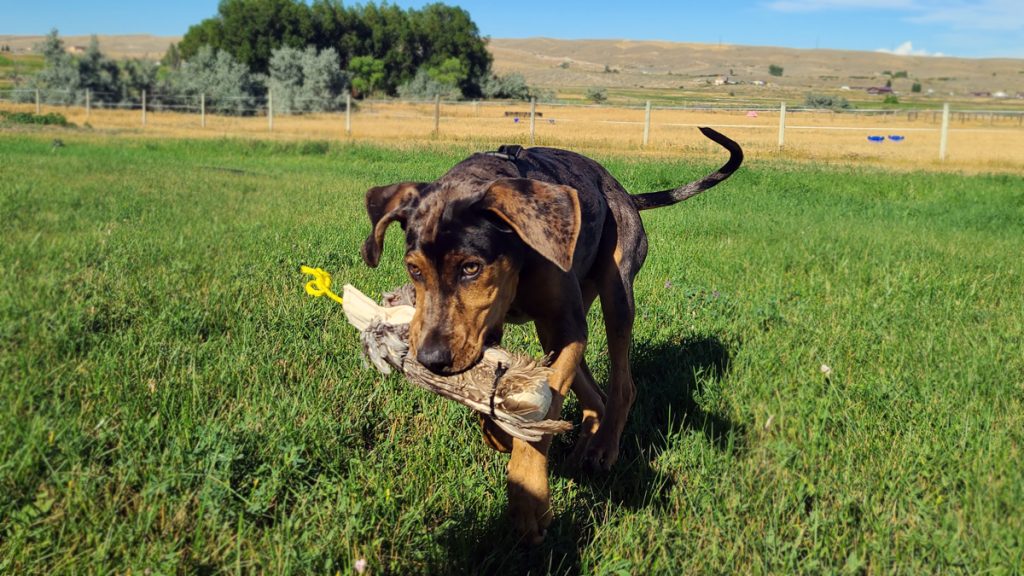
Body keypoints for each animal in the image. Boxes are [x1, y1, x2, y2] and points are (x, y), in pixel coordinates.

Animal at [362, 126, 745, 541]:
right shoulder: (491, 328)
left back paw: (603, 447)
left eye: (471, 267)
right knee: (594, 394)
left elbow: (539, 416)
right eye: (414, 270)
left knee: (623, 384)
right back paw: (585, 446)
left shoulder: (565, 327)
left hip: (615, 292)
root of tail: (624, 192)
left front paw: (528, 497)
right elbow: (489, 389)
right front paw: (498, 432)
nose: (431, 360)